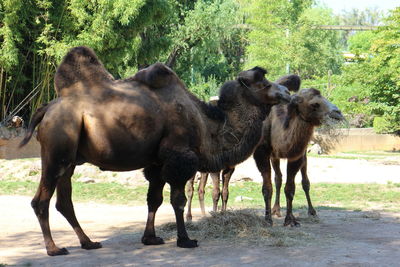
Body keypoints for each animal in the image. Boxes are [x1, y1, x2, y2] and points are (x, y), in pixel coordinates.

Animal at [19, 46, 290, 258]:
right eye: (264, 83)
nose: (287, 92)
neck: (207, 124)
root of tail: (46, 108)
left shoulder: (158, 163)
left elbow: (154, 199)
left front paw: (150, 238)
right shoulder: (179, 156)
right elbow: (177, 201)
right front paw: (185, 240)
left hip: (71, 159)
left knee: (64, 201)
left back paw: (88, 243)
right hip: (56, 151)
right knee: (40, 200)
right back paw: (54, 248)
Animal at [186, 74, 302, 221]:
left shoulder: (230, 167)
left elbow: (225, 192)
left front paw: (223, 213)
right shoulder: (217, 167)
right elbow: (216, 192)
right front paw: (215, 214)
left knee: (201, 189)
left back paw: (202, 214)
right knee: (190, 188)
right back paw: (189, 216)